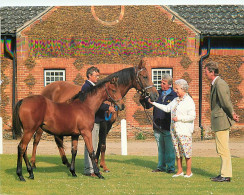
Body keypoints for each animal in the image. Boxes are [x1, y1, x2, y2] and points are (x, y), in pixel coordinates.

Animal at [29, 59, 158, 171]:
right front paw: (103, 166)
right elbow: (102, 145)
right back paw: (33, 163)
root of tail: (46, 89)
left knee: (57, 140)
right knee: (36, 140)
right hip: (40, 125)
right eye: (145, 76)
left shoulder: (108, 125)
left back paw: (66, 162)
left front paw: (97, 163)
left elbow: (99, 144)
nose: (155, 95)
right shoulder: (103, 123)